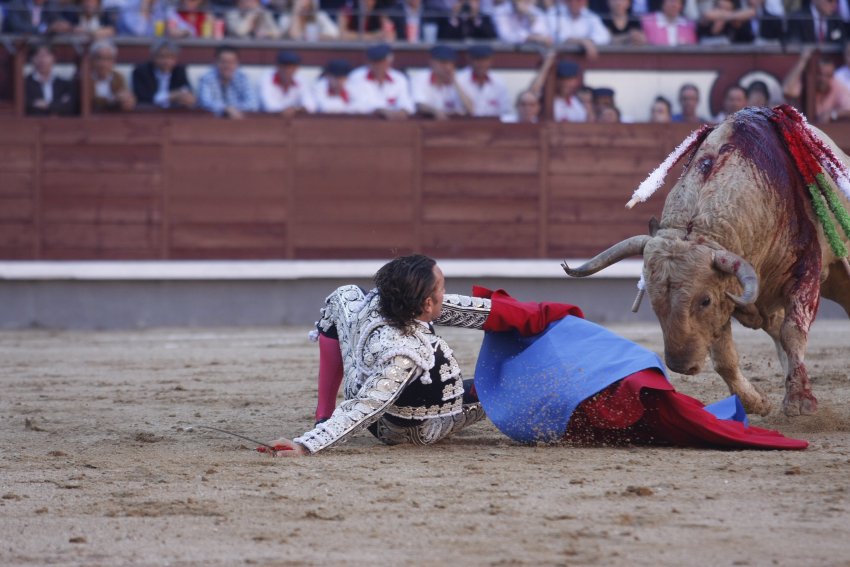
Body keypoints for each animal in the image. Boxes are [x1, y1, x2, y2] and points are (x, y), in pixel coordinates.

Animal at [564, 105, 848, 418]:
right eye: (653, 301)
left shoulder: (804, 271)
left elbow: (793, 332)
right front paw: (756, 403)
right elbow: (725, 358)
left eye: (704, 300)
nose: (680, 365)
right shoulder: (727, 296)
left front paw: (799, 401)